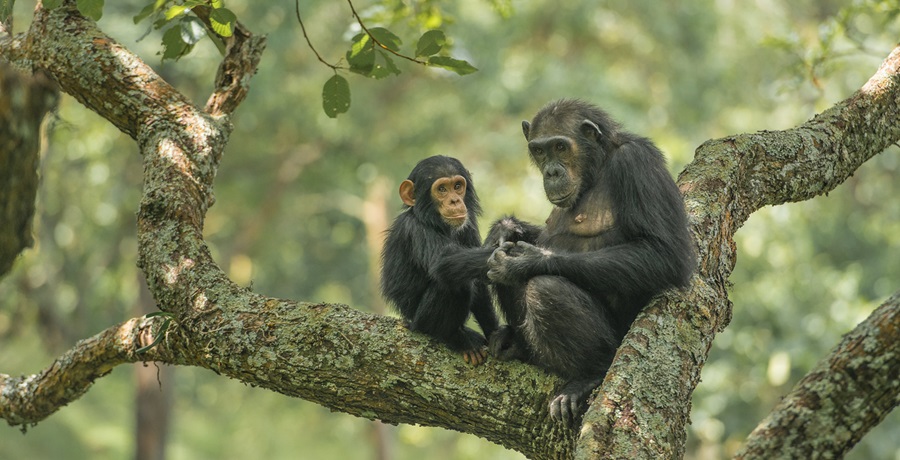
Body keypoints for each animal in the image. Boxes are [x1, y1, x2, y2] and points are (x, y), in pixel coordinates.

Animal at [376, 156, 496, 364]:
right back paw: (458, 339)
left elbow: (480, 284)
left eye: (457, 186)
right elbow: (443, 261)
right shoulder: (414, 229)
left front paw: (500, 336)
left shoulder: (468, 224)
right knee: (455, 283)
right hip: (419, 323)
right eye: (441, 189)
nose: (455, 200)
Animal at [486, 99, 696, 426]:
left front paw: (527, 261)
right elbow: (534, 237)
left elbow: (663, 252)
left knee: (545, 290)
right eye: (539, 150)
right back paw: (517, 345)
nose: (551, 171)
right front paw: (505, 229)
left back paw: (589, 376)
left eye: (560, 147)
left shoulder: (637, 163)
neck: (596, 168)